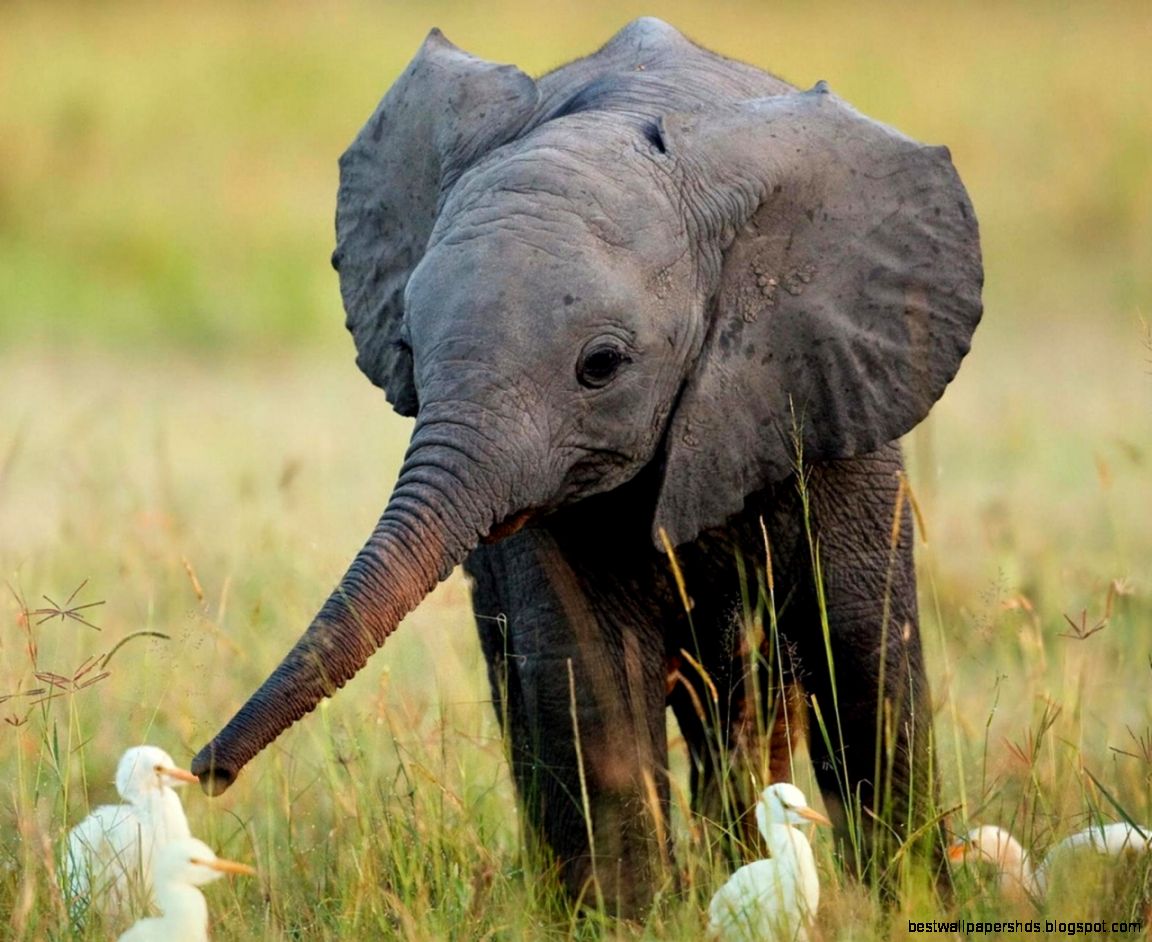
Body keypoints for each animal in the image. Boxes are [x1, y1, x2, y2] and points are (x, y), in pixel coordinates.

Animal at [191, 18, 982, 915]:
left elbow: (860, 650)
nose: (207, 773)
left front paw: (913, 905)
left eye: (600, 366)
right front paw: (628, 920)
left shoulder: (829, 385)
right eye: (408, 350)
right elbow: (587, 671)